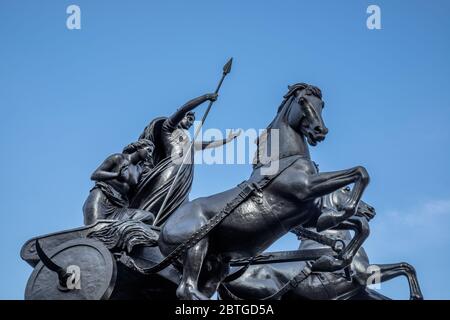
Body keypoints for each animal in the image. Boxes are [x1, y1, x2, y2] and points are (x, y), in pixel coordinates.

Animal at [160, 83, 370, 300]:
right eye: (302, 100)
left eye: (322, 104)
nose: (320, 131)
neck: (283, 161)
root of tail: (163, 231)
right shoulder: (306, 187)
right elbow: (360, 172)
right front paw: (345, 211)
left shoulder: (310, 216)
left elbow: (361, 225)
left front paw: (332, 259)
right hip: (196, 245)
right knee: (186, 289)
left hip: (216, 265)